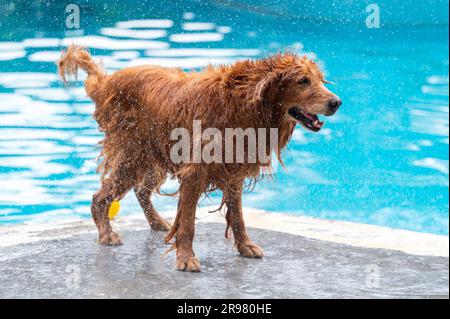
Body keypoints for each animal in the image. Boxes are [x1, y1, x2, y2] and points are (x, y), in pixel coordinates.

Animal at [59, 46, 342, 274]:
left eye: (320, 79)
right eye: (303, 80)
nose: (336, 102)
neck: (243, 102)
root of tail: (106, 81)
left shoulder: (233, 170)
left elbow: (238, 216)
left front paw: (245, 246)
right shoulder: (195, 171)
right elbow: (187, 223)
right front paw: (185, 258)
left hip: (153, 155)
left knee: (141, 190)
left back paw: (157, 222)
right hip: (133, 155)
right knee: (101, 196)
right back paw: (106, 233)